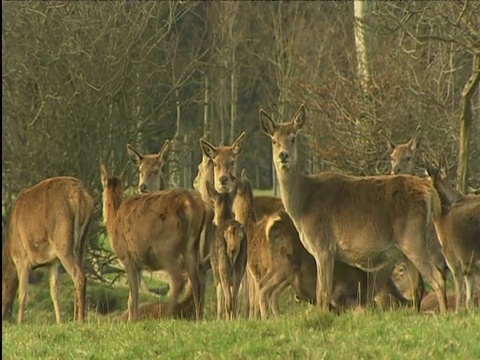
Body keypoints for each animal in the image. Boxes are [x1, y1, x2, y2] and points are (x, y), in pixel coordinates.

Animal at [1, 177, 94, 324]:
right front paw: (60, 321)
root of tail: (80, 194)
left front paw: (20, 323)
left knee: (79, 276)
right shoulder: (52, 261)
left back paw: (80, 320)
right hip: (82, 241)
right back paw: (75, 318)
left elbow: (22, 293)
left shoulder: (21, 258)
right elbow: (54, 291)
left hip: (63, 241)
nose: (6, 318)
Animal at [100, 165, 205, 322]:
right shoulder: (138, 264)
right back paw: (199, 318)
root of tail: (189, 204)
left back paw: (168, 314)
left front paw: (132, 321)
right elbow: (131, 298)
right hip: (192, 246)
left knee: (178, 279)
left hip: (166, 247)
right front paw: (132, 320)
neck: (113, 223)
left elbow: (133, 296)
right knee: (196, 280)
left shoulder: (127, 258)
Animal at [205, 181, 248, 320]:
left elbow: (220, 298)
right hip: (240, 265)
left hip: (223, 265)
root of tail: (232, 230)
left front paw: (219, 319)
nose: (213, 220)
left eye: (213, 204)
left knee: (229, 300)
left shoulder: (216, 273)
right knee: (234, 299)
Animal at [260, 103, 448, 312]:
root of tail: (428, 190)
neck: (302, 207)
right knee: (419, 287)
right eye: (274, 141)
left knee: (438, 278)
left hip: (413, 238)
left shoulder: (324, 246)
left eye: (293, 138)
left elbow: (323, 295)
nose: (283, 155)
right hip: (407, 248)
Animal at [426, 156, 478, 310]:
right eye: (453, 184)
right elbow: (468, 300)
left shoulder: (455, 263)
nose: (460, 197)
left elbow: (460, 297)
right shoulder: (467, 267)